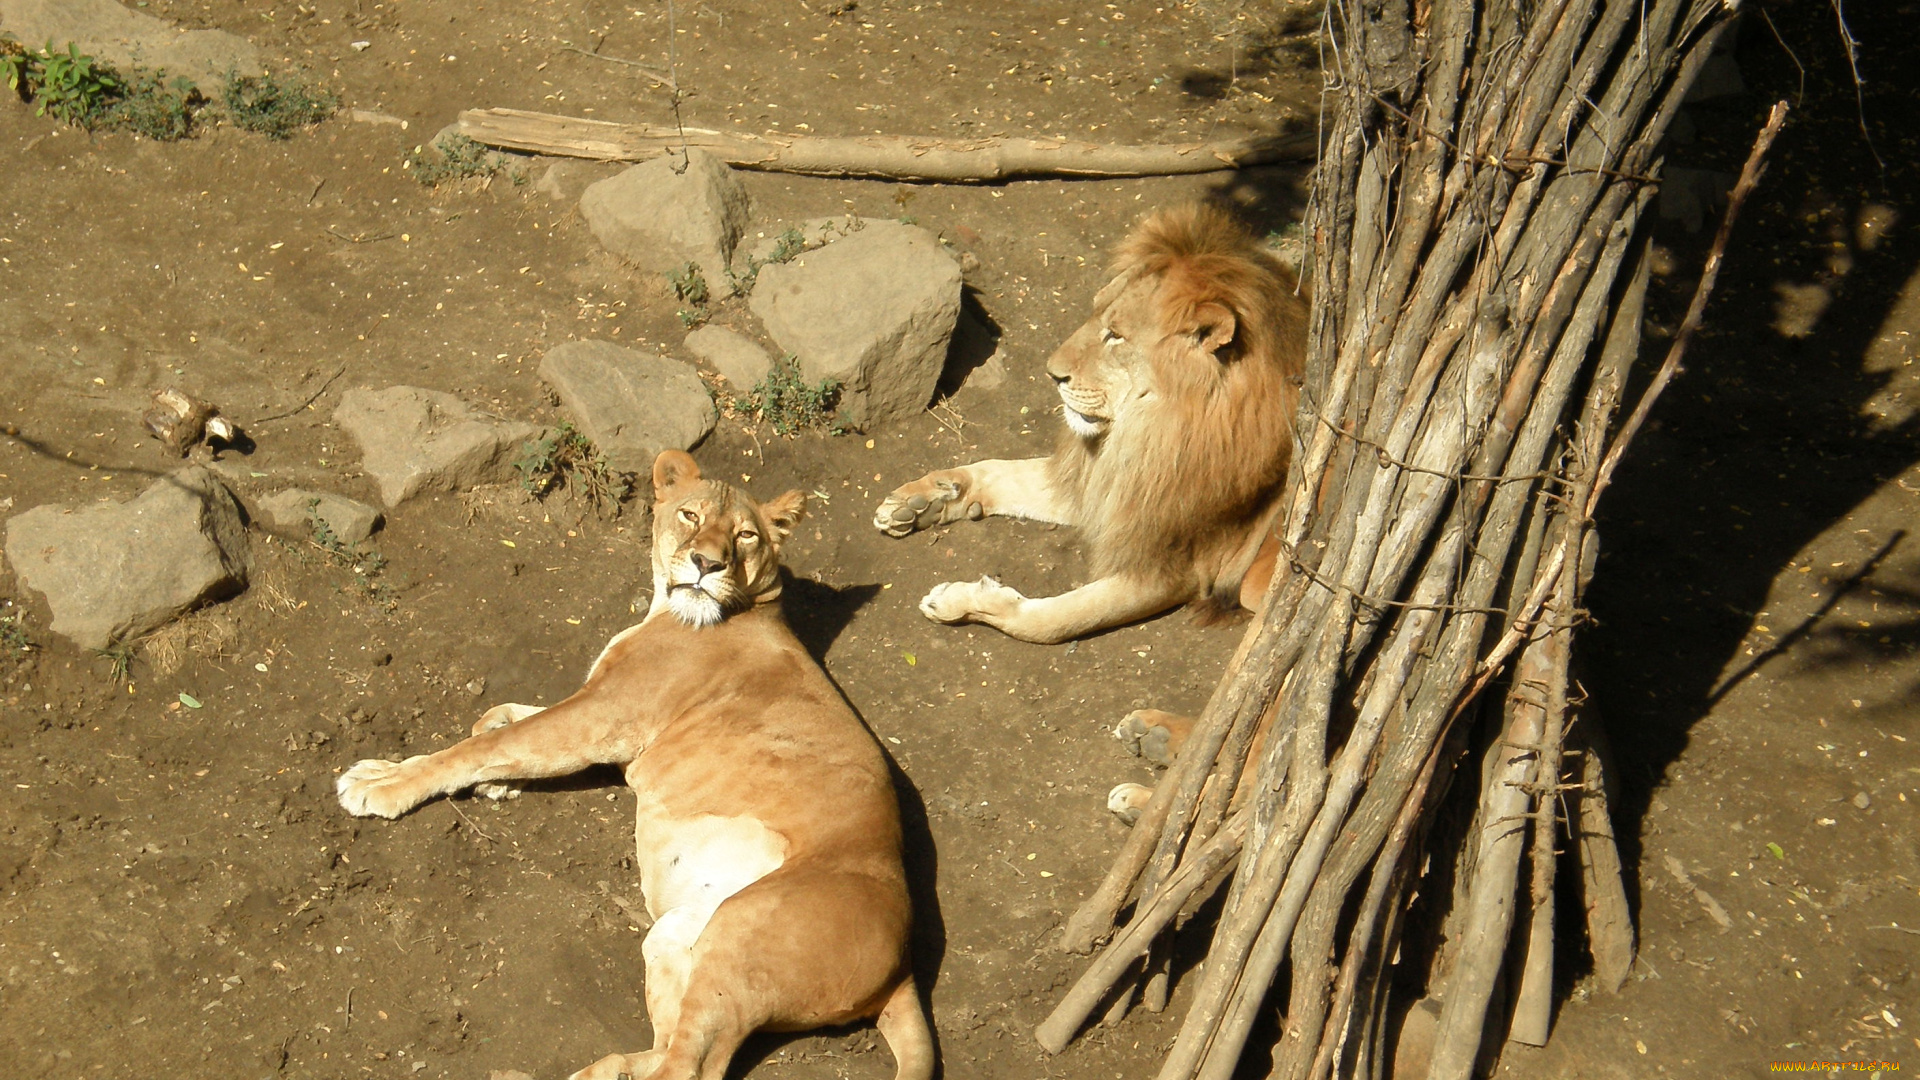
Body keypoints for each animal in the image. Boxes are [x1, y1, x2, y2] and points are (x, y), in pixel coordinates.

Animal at [339, 449, 936, 1076]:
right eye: (690, 515)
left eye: (746, 535)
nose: (706, 563)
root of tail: (904, 967)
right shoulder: (600, 709)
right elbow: (502, 725)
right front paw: (495, 781)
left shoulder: (604, 714)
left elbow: (485, 745)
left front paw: (381, 782)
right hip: (677, 933)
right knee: (667, 1046)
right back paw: (606, 1069)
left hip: (740, 939)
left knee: (692, 1065)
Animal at [875, 200, 1305, 638]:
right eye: (1095, 312)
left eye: (1115, 334)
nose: (1052, 374)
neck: (1152, 431)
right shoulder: (1113, 485)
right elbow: (998, 470)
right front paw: (924, 500)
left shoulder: (1173, 567)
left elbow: (1050, 620)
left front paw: (958, 600)